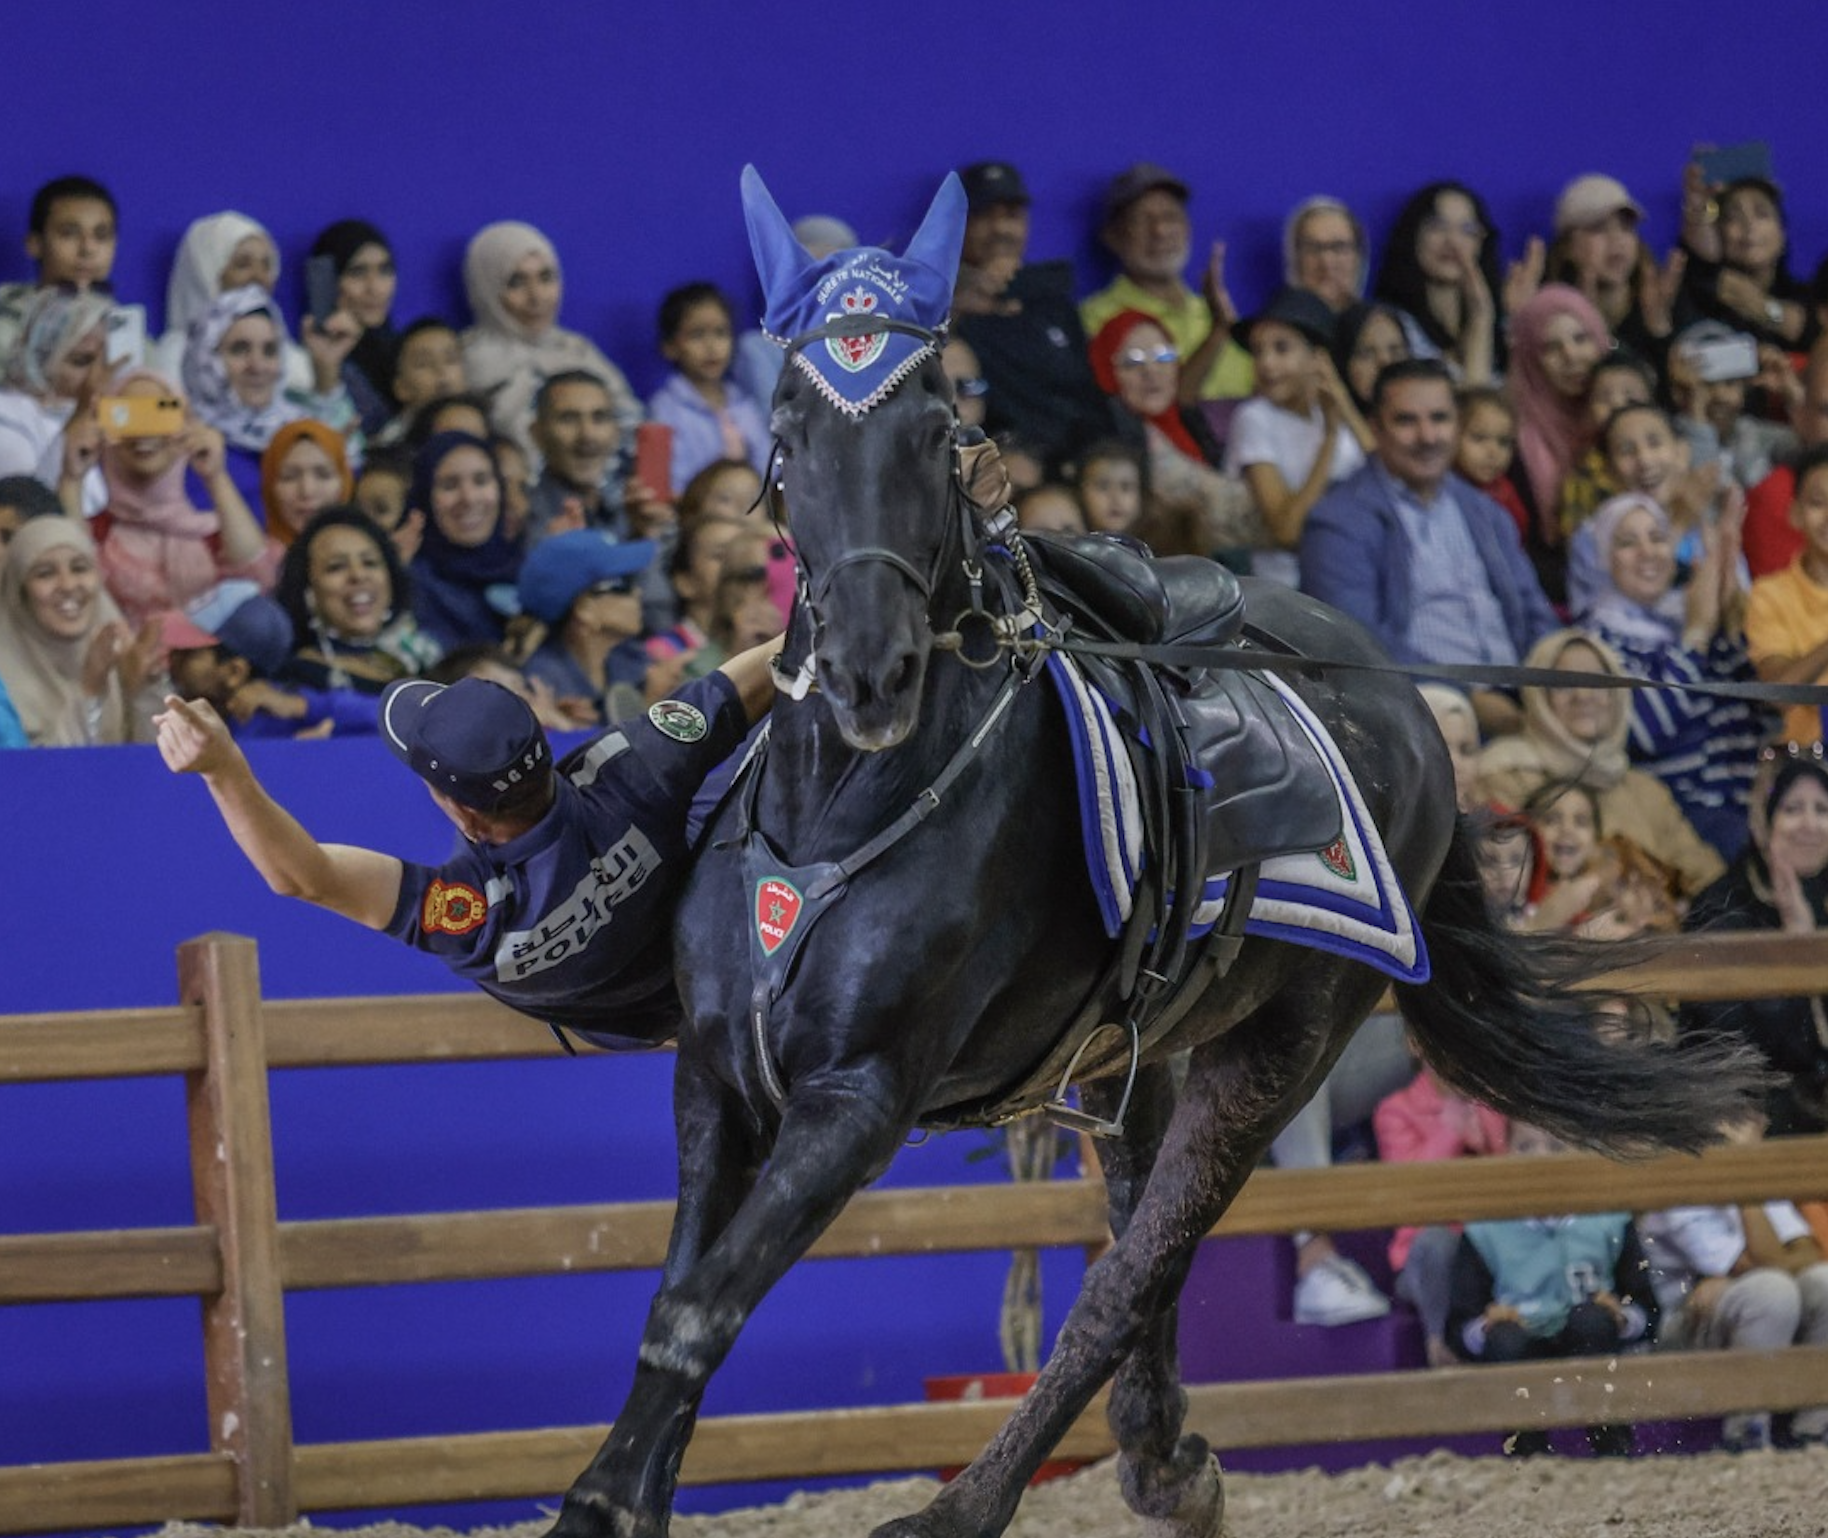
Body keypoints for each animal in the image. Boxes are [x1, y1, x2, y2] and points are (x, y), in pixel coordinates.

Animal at [544, 173, 1769, 1536]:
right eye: (792, 427)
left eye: (932, 426)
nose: (869, 669)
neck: (846, 809)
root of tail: (1401, 701)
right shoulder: (714, 1073)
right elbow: (681, 1293)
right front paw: (617, 1499)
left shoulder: (858, 1097)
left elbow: (699, 1308)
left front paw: (602, 1504)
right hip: (1140, 1056)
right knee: (1140, 1257)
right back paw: (1160, 1457)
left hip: (1276, 1052)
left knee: (1125, 1278)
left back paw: (976, 1504)